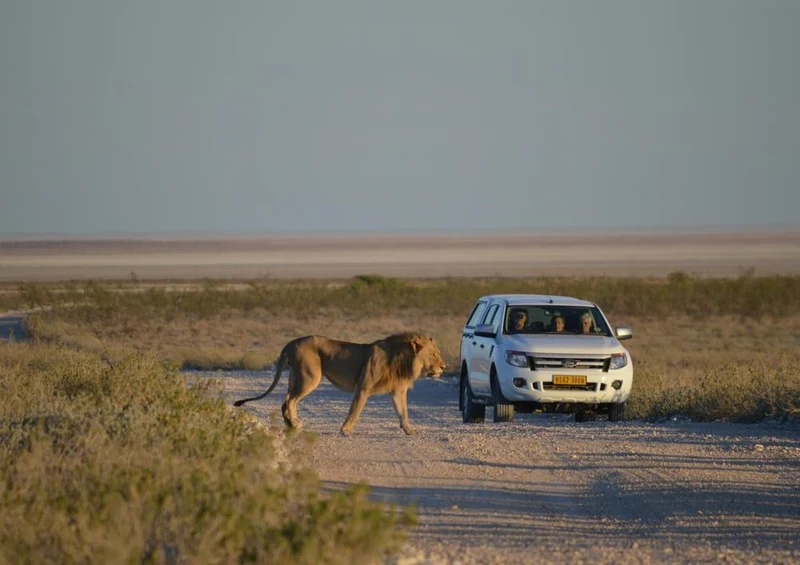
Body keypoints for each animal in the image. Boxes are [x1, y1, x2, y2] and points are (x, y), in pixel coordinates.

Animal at [233, 332, 446, 436]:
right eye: (434, 354)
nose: (444, 367)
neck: (403, 359)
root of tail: (291, 343)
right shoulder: (363, 386)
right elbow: (355, 410)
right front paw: (345, 430)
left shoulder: (398, 391)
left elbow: (403, 413)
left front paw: (409, 430)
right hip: (310, 377)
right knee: (290, 400)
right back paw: (293, 424)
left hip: (296, 376)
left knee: (286, 399)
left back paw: (292, 423)